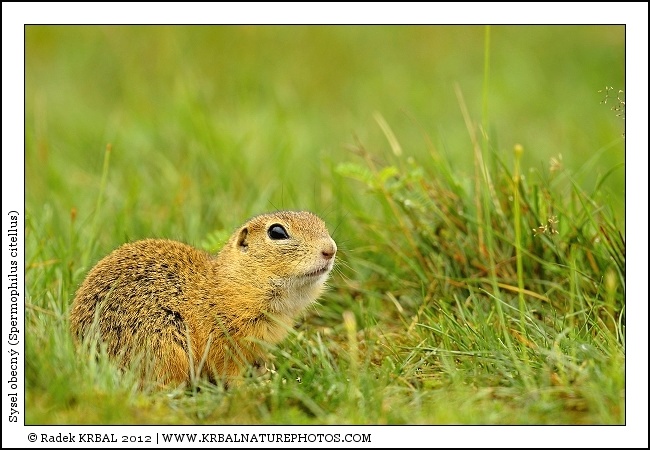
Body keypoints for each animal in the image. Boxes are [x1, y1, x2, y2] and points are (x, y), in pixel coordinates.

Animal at [69, 210, 337, 387]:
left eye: (322, 224)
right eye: (277, 232)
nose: (330, 249)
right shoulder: (222, 340)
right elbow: (228, 371)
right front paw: (249, 390)